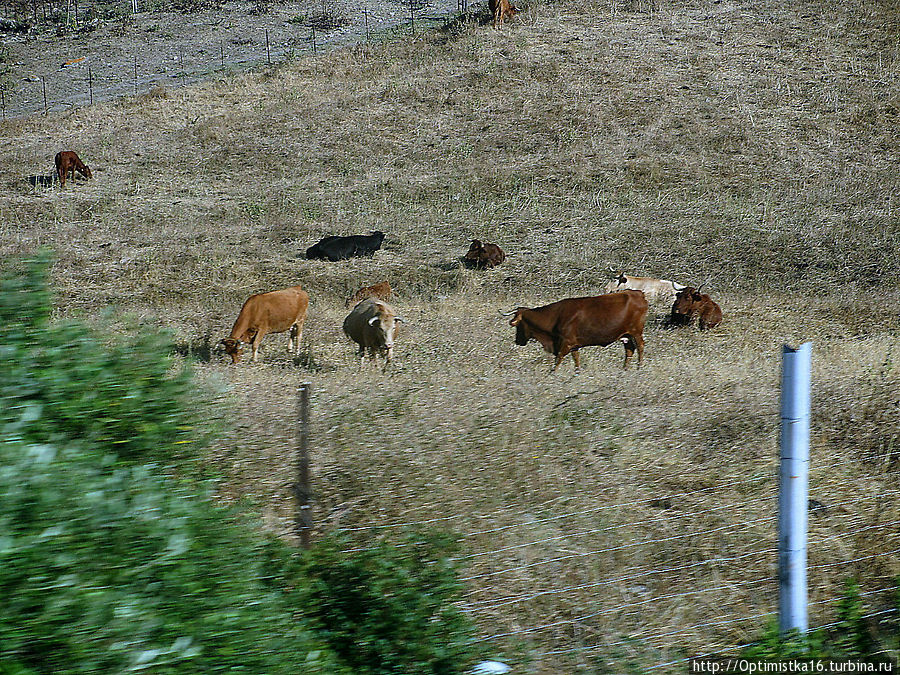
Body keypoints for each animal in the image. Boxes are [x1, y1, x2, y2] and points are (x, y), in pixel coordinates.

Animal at [506, 290, 648, 372]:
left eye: (518, 325)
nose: (517, 341)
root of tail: (638, 293)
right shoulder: (573, 345)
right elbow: (576, 359)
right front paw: (576, 373)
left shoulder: (566, 343)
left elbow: (558, 359)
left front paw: (552, 374)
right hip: (626, 335)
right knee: (629, 350)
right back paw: (624, 369)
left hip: (636, 332)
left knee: (640, 347)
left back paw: (639, 367)